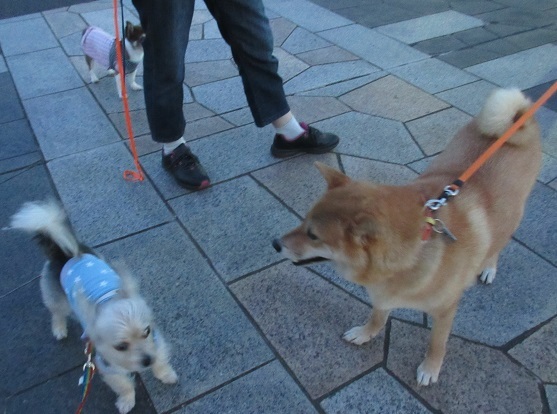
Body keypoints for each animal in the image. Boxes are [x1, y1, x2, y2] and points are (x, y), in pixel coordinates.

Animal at [9, 201, 178, 414]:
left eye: (146, 331)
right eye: (121, 346)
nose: (148, 360)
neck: (107, 299)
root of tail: (66, 253)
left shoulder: (157, 342)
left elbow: (161, 360)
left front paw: (165, 374)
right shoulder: (106, 365)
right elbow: (123, 384)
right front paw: (126, 400)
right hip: (57, 298)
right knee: (57, 313)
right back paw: (59, 329)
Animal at [272, 87, 540, 384]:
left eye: (313, 235)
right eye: (303, 221)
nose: (275, 244)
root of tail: (517, 120)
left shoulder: (445, 309)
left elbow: (437, 343)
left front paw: (430, 369)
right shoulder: (383, 295)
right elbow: (378, 317)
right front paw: (366, 333)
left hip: (512, 217)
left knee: (497, 245)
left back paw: (489, 267)